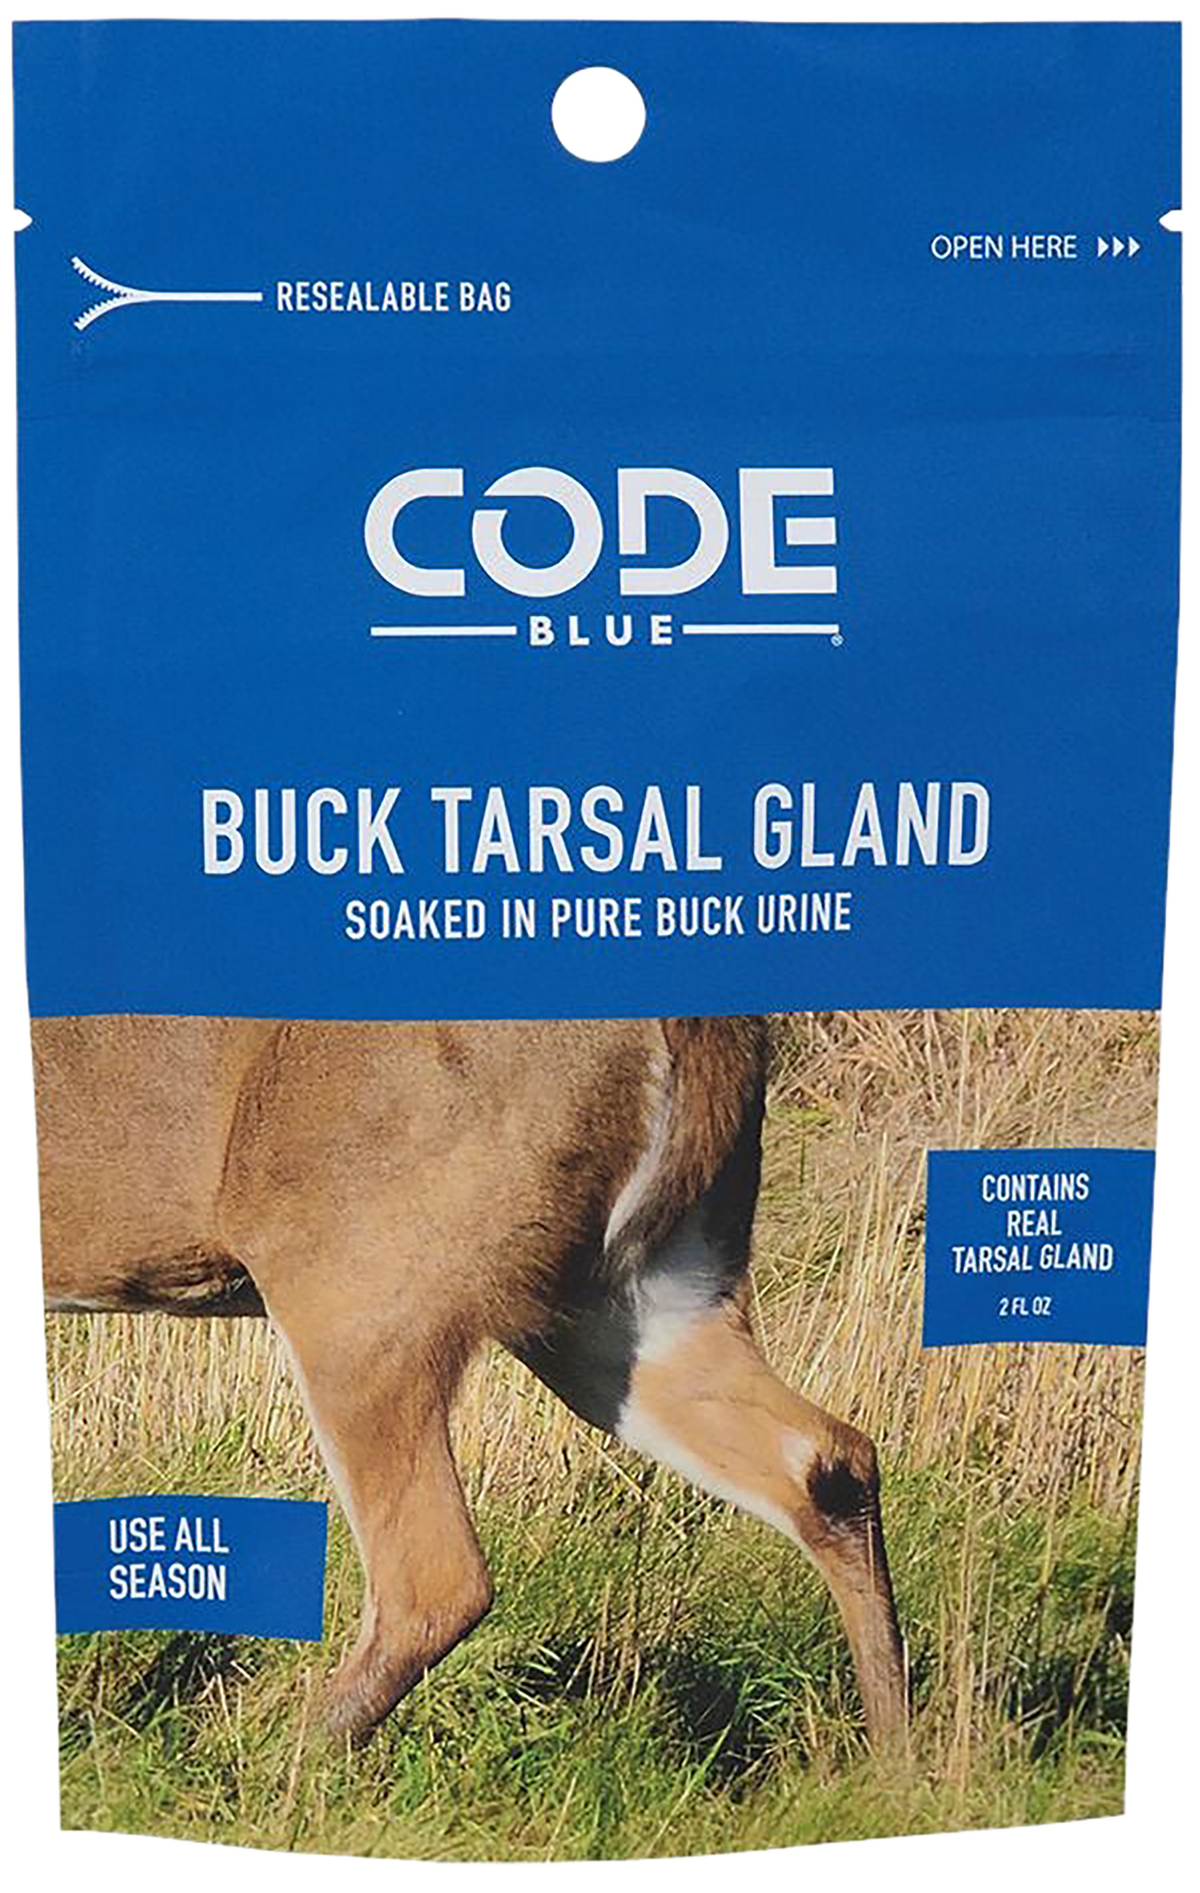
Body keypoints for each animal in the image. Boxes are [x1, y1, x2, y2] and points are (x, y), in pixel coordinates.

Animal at [31, 1014, 906, 1746]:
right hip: (640, 1290)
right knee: (828, 1456)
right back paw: (894, 1761)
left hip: (354, 1269)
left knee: (435, 1576)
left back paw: (268, 1763)